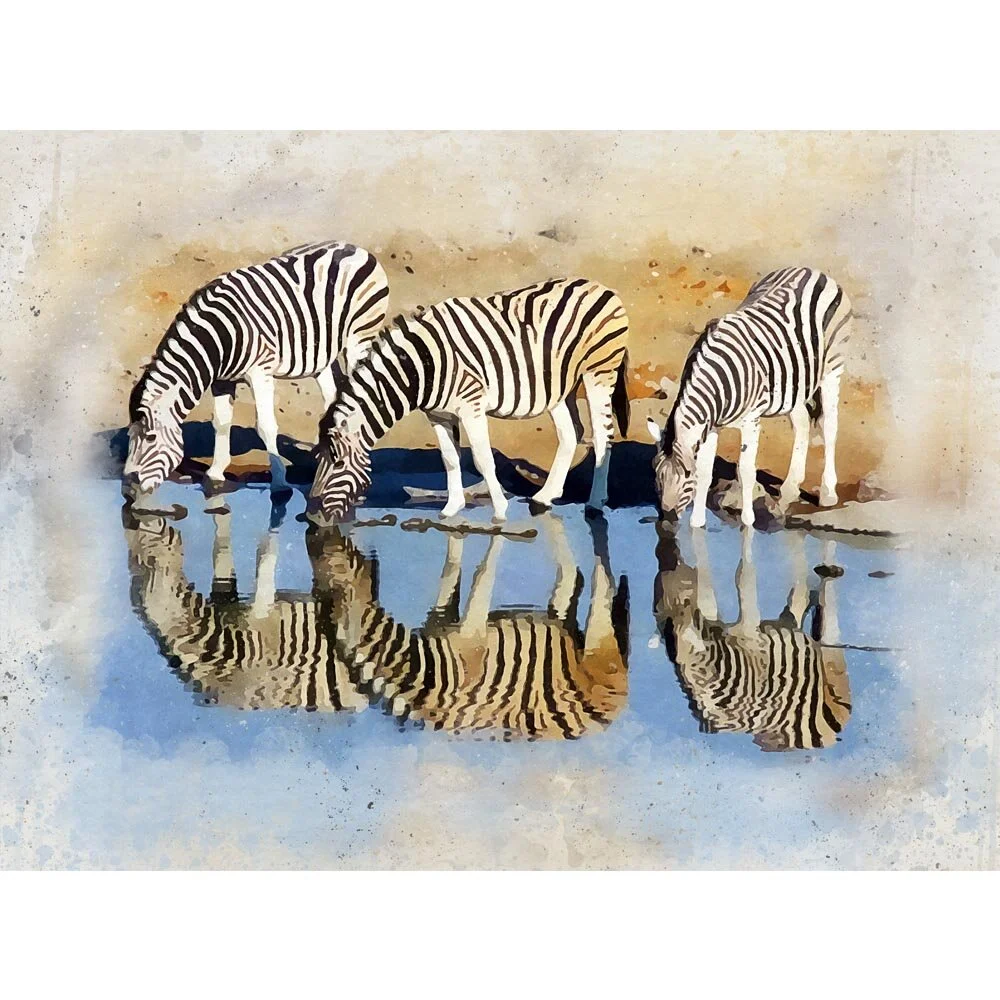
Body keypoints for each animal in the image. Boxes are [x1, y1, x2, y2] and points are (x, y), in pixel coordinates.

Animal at [123, 240, 389, 502]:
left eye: (150, 438)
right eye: (129, 436)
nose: (128, 487)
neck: (220, 338)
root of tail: (351, 246)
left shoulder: (260, 373)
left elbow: (265, 426)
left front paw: (280, 483)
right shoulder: (222, 380)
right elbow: (221, 422)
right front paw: (215, 474)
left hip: (359, 338)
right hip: (322, 353)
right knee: (332, 394)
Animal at [305, 278, 631, 524]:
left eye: (337, 462)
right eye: (318, 460)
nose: (311, 517)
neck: (420, 369)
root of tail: (599, 286)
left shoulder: (471, 405)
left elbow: (482, 459)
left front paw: (500, 510)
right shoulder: (437, 414)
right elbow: (450, 459)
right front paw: (451, 508)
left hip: (599, 371)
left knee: (602, 436)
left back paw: (595, 504)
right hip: (559, 386)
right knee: (570, 433)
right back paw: (544, 497)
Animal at [313, 514, 630, 740]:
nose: (314, 532)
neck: (421, 670)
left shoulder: (473, 639)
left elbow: (481, 573)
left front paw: (493, 528)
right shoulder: (440, 621)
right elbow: (450, 571)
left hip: (598, 638)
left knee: (603, 585)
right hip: (564, 637)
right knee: (571, 584)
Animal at [646, 266, 853, 527]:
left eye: (685, 475)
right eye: (656, 473)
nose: (667, 520)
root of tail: (811, 270)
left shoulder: (751, 421)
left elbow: (746, 471)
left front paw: (748, 522)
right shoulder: (711, 425)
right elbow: (706, 472)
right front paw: (697, 524)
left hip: (832, 369)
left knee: (829, 427)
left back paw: (827, 493)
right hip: (795, 383)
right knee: (802, 426)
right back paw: (790, 490)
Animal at [653, 524, 851, 752]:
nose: (668, 562)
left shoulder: (750, 634)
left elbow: (743, 577)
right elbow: (710, 594)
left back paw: (828, 570)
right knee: (800, 602)